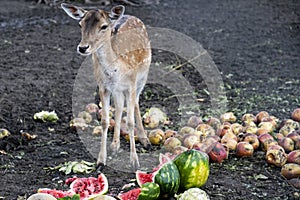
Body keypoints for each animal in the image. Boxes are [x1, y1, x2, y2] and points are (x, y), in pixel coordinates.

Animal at [61, 3, 151, 169]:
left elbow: (130, 122)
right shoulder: (103, 87)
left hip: (143, 76)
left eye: (103, 26)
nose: (83, 47)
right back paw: (115, 145)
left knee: (135, 103)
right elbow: (104, 121)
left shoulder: (131, 84)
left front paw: (135, 161)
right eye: (80, 24)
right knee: (120, 105)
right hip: (118, 89)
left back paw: (145, 140)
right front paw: (101, 160)